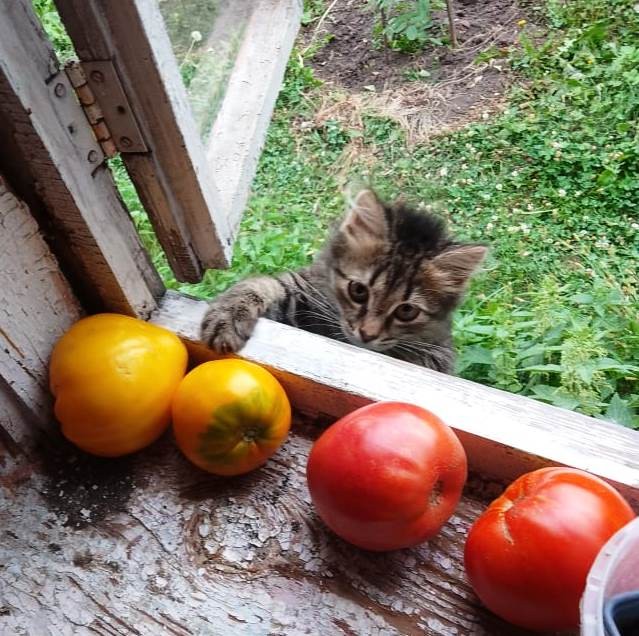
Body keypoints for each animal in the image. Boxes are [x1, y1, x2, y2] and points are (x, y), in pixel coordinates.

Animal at [202, 191, 488, 376]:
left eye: (407, 311)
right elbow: (263, 285)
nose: (367, 334)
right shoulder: (302, 288)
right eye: (358, 291)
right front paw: (228, 315)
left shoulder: (440, 352)